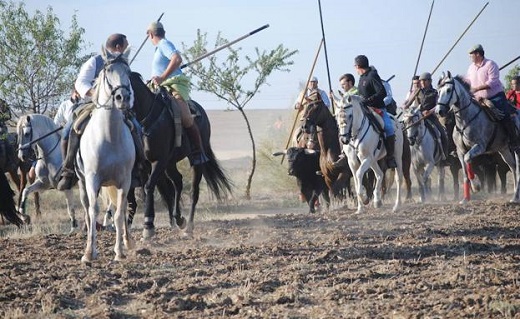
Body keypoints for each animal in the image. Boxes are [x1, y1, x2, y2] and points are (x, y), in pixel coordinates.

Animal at [76, 47, 136, 262]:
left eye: (129, 72)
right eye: (108, 71)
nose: (122, 98)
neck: (109, 136)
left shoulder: (125, 181)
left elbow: (118, 213)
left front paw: (119, 252)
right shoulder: (92, 179)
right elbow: (93, 211)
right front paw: (88, 253)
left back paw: (127, 242)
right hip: (82, 183)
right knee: (87, 212)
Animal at [128, 72, 232, 238]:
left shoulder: (158, 161)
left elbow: (149, 187)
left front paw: (148, 226)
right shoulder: (145, 165)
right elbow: (144, 191)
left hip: (194, 162)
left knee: (194, 192)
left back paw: (188, 226)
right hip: (170, 164)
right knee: (177, 182)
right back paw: (178, 219)